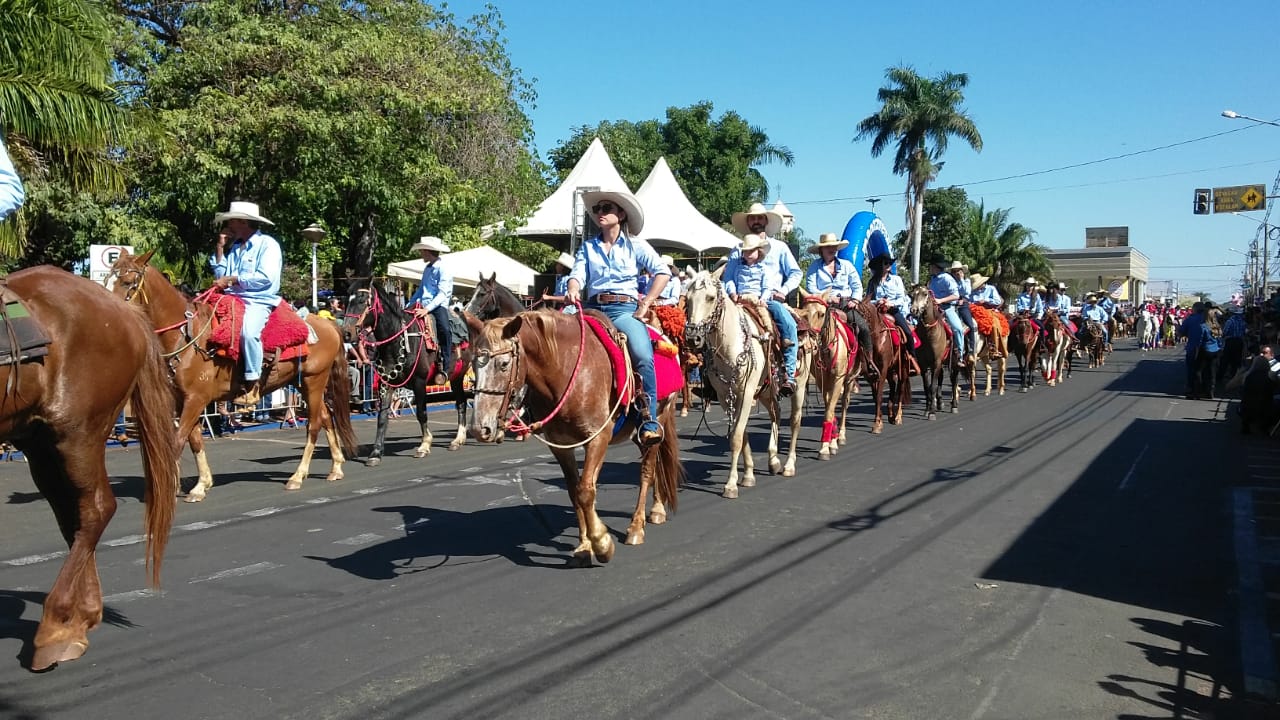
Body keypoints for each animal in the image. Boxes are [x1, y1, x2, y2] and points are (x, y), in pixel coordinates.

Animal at [0, 266, 180, 671]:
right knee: (76, 516)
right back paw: (77, 620)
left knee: (96, 509)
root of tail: (124, 310)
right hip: (39, 440)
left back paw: (55, 628)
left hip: (77, 431)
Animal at [102, 248, 355, 499]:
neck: (186, 337)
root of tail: (329, 326)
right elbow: (194, 440)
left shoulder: (196, 399)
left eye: (128, 282)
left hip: (314, 381)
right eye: (106, 280)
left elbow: (178, 439)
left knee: (314, 424)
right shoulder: (182, 400)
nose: (111, 316)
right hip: (303, 383)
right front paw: (201, 484)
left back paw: (297, 476)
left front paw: (174, 487)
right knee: (326, 417)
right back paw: (336, 468)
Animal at [345, 278, 471, 461]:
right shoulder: (386, 383)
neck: (399, 339)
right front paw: (376, 453)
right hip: (456, 377)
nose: (346, 333)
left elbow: (421, 412)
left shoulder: (419, 381)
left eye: (362, 300)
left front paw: (424, 445)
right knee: (461, 403)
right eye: (347, 300)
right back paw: (458, 440)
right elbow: (382, 416)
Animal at [465, 304, 686, 558]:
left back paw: (636, 527)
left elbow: (585, 491)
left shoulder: (598, 438)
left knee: (647, 471)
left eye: (503, 364)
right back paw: (657, 509)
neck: (566, 370)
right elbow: (574, 491)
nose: (479, 428)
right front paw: (584, 545)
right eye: (473, 365)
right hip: (638, 435)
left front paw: (601, 542)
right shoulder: (560, 445)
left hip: (658, 420)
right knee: (655, 465)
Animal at [680, 271, 798, 497]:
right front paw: (748, 475)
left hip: (798, 386)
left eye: (710, 297)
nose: (692, 337)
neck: (730, 345)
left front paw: (731, 484)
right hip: (766, 391)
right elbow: (741, 433)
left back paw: (789, 465)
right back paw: (773, 460)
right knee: (776, 413)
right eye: (687, 300)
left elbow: (735, 436)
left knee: (795, 420)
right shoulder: (726, 396)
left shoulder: (746, 392)